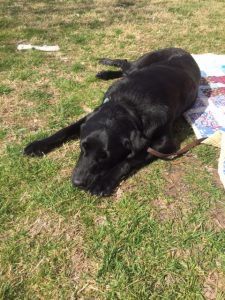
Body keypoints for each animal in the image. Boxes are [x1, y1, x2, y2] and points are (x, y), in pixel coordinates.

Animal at [24, 47, 200, 196]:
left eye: (105, 156)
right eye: (83, 146)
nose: (77, 182)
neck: (127, 105)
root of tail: (183, 50)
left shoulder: (166, 145)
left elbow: (130, 159)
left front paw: (104, 181)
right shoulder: (93, 113)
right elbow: (66, 130)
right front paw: (38, 145)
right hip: (137, 66)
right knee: (124, 63)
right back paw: (105, 67)